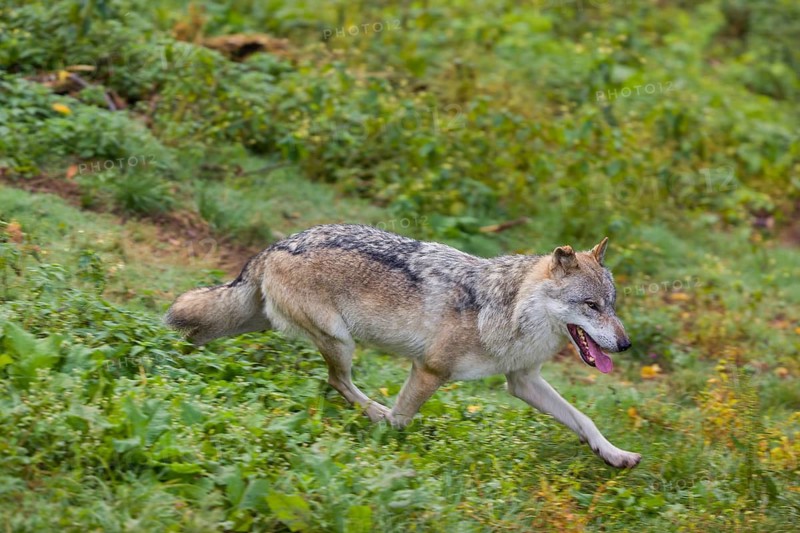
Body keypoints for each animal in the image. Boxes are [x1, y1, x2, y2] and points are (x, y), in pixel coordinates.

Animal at [165, 224, 640, 468]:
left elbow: (583, 419)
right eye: (591, 306)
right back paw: (373, 412)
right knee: (338, 382)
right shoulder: (429, 371)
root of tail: (276, 245)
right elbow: (401, 420)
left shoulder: (522, 382)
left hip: (252, 322)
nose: (625, 344)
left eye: (613, 305)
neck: (507, 310)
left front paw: (615, 455)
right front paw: (387, 446)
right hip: (340, 342)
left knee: (198, 328)